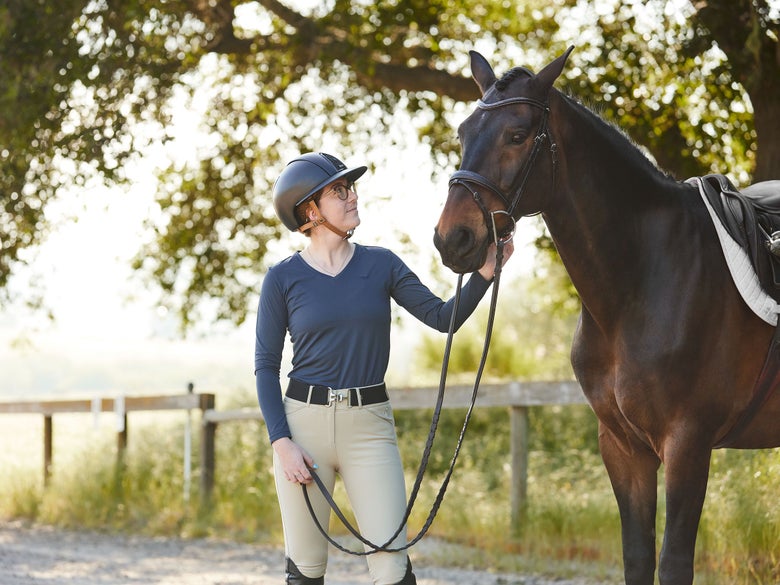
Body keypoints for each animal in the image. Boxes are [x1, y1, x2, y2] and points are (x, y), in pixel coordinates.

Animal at [433, 47, 780, 585]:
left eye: (518, 134)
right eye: (464, 132)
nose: (454, 239)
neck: (644, 279)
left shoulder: (688, 443)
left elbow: (673, 562)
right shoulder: (622, 448)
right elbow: (636, 556)